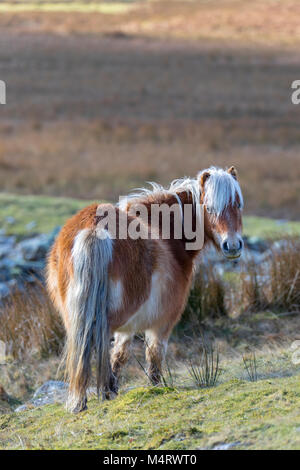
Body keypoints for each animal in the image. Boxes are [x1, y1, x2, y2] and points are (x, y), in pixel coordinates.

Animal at [46, 164, 244, 412]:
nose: (232, 245)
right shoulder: (162, 322)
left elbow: (119, 355)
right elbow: (153, 355)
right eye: (209, 208)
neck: (167, 234)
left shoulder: (128, 328)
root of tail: (93, 228)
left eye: (238, 205)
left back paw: (82, 399)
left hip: (73, 316)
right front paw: (155, 387)